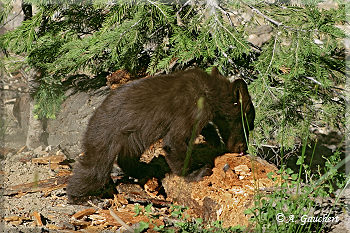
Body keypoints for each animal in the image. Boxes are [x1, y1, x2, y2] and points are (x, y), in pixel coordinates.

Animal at [67, 67, 256, 202]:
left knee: (126, 158)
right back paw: (80, 196)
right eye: (249, 124)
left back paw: (145, 169)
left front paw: (213, 138)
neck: (210, 91)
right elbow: (175, 141)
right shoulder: (191, 107)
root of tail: (93, 117)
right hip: (105, 134)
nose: (243, 148)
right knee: (95, 167)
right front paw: (197, 172)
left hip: (131, 137)